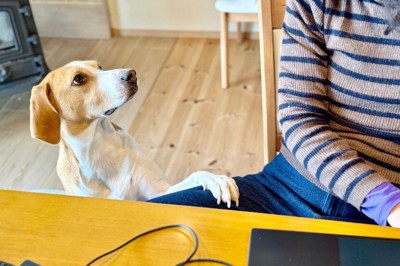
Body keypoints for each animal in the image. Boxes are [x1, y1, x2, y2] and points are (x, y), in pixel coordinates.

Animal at [29, 61, 239, 207]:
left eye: (99, 66)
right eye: (78, 79)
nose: (131, 74)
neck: (100, 148)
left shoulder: (161, 192)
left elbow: (197, 175)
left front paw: (216, 179)